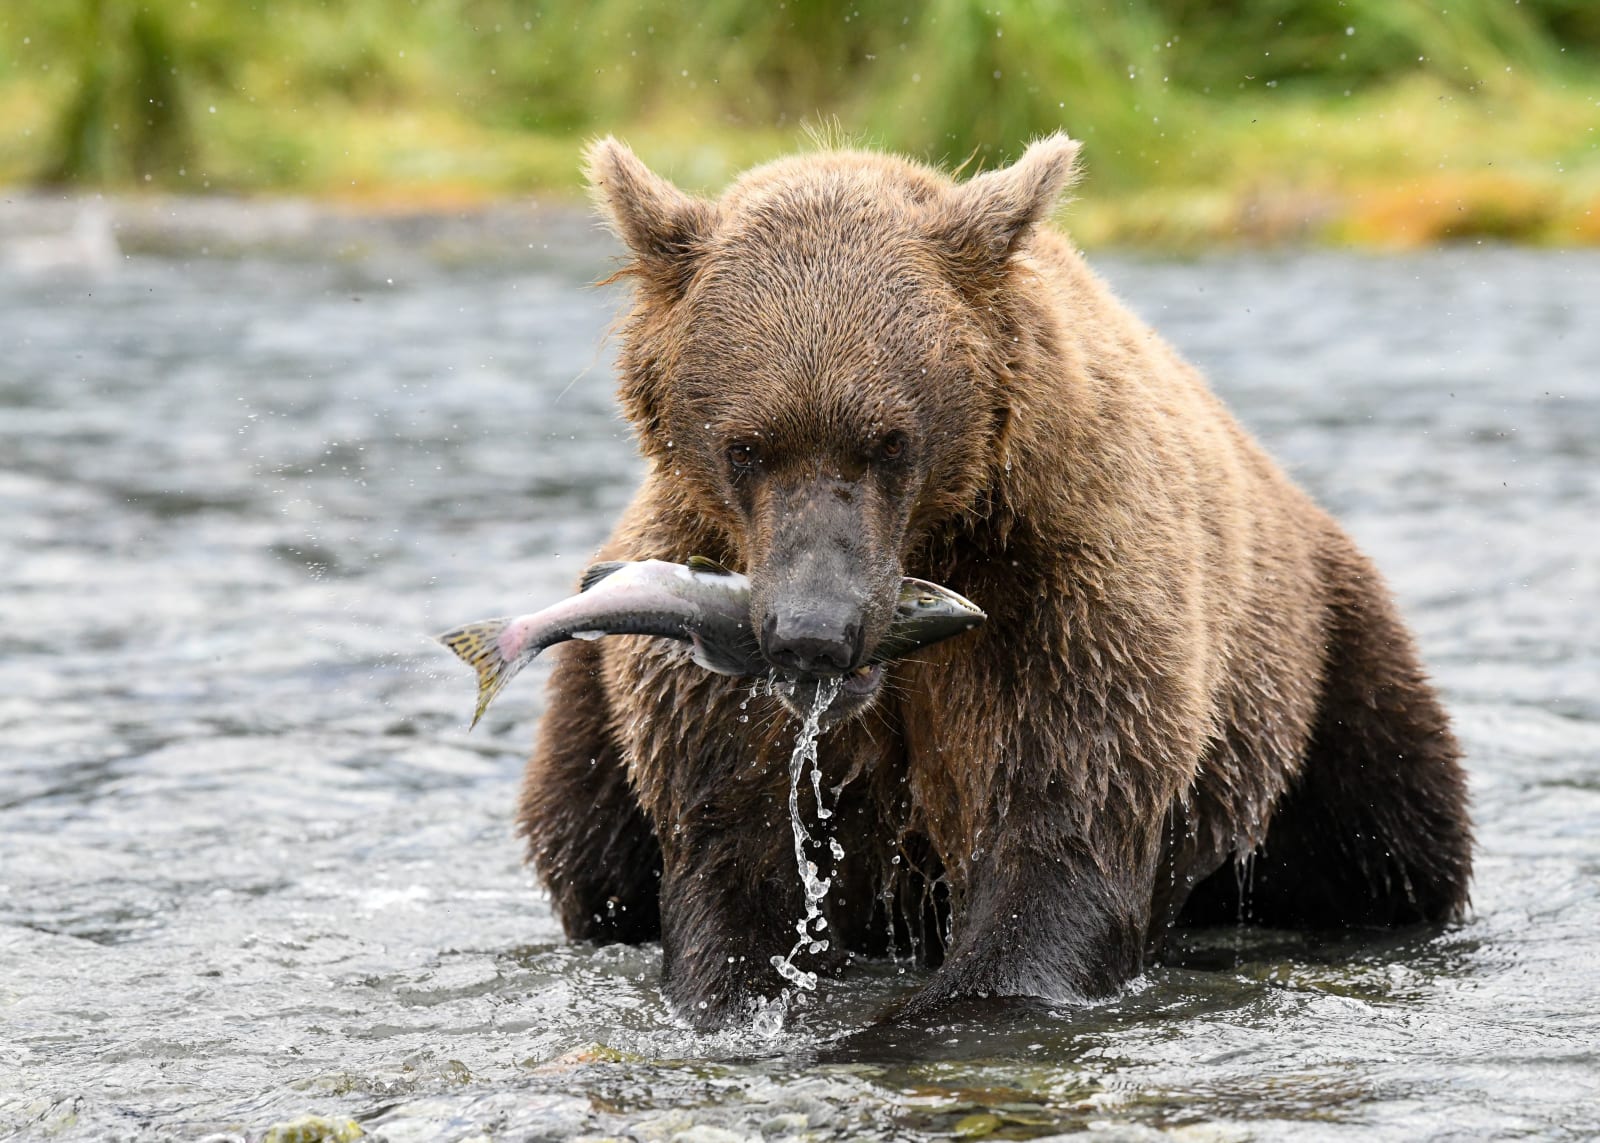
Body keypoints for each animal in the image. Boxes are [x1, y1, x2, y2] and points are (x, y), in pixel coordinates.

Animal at [515, 134, 1473, 1029]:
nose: (813, 632)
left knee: (1392, 841)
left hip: (1328, 670)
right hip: (589, 712)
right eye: (745, 446)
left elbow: (1053, 837)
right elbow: (732, 853)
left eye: (890, 441)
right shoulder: (703, 657)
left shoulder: (1060, 601)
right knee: (593, 859)